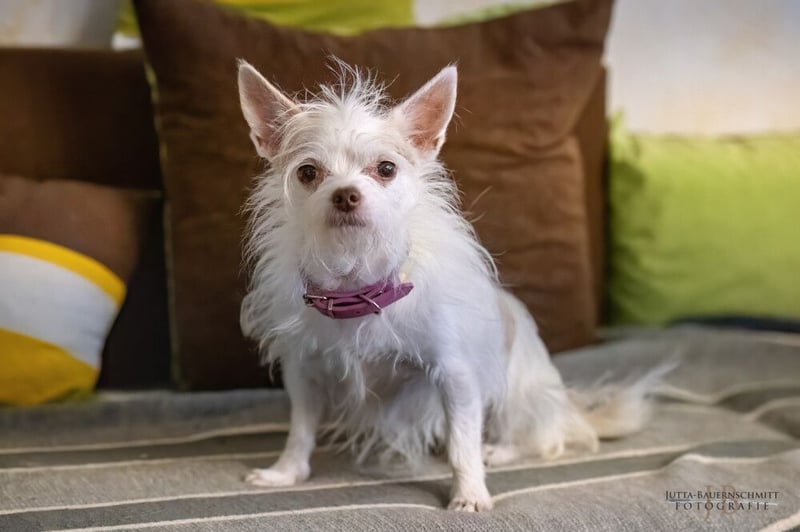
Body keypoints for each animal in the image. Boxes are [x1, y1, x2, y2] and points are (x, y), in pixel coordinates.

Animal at [236, 60, 663, 511]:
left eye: (385, 169)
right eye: (308, 173)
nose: (346, 194)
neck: (358, 287)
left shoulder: (456, 376)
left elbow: (462, 444)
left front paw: (470, 493)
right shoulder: (304, 373)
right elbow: (300, 429)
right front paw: (285, 472)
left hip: (512, 390)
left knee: (534, 436)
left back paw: (498, 450)